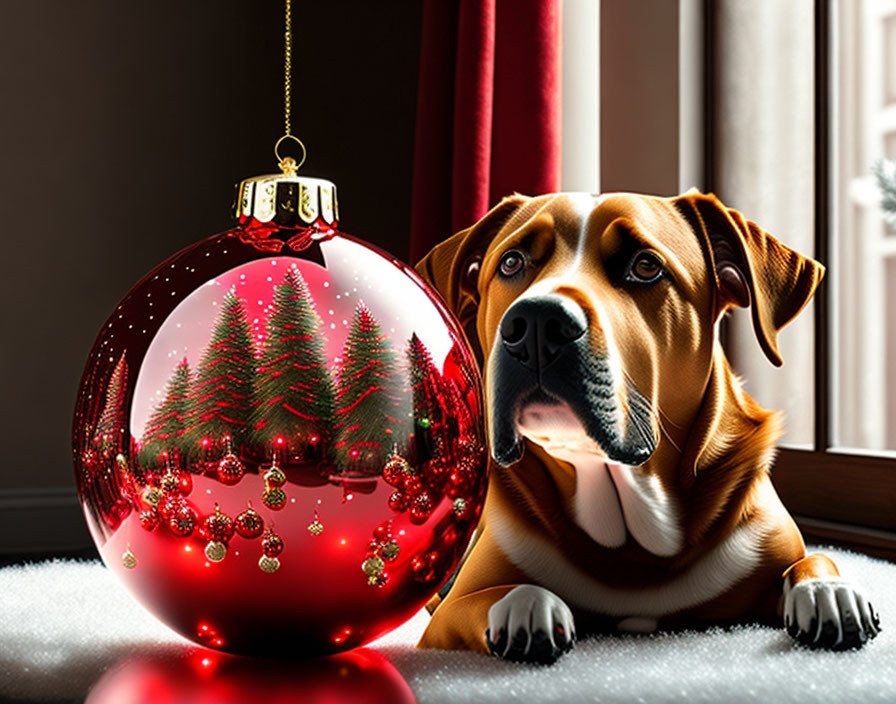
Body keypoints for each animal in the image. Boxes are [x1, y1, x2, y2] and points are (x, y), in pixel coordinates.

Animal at [412, 190, 880, 664]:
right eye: (511, 262)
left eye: (645, 266)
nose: (536, 323)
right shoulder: (450, 614)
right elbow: (504, 592)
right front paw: (526, 606)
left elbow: (813, 560)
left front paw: (828, 591)